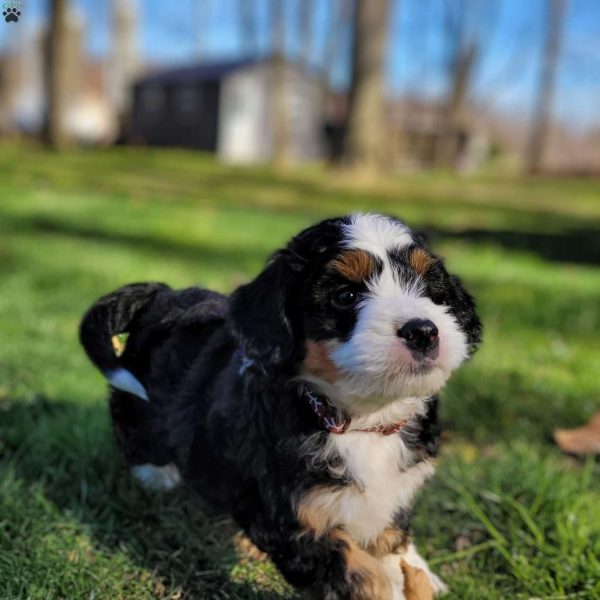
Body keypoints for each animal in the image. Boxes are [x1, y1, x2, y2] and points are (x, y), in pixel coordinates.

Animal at [81, 213, 482, 596]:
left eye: (429, 288)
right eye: (345, 296)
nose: (423, 332)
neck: (362, 419)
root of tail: (161, 295)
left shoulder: (394, 491)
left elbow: (391, 535)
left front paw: (416, 569)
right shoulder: (286, 516)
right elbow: (358, 572)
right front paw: (391, 586)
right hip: (142, 406)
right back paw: (158, 475)